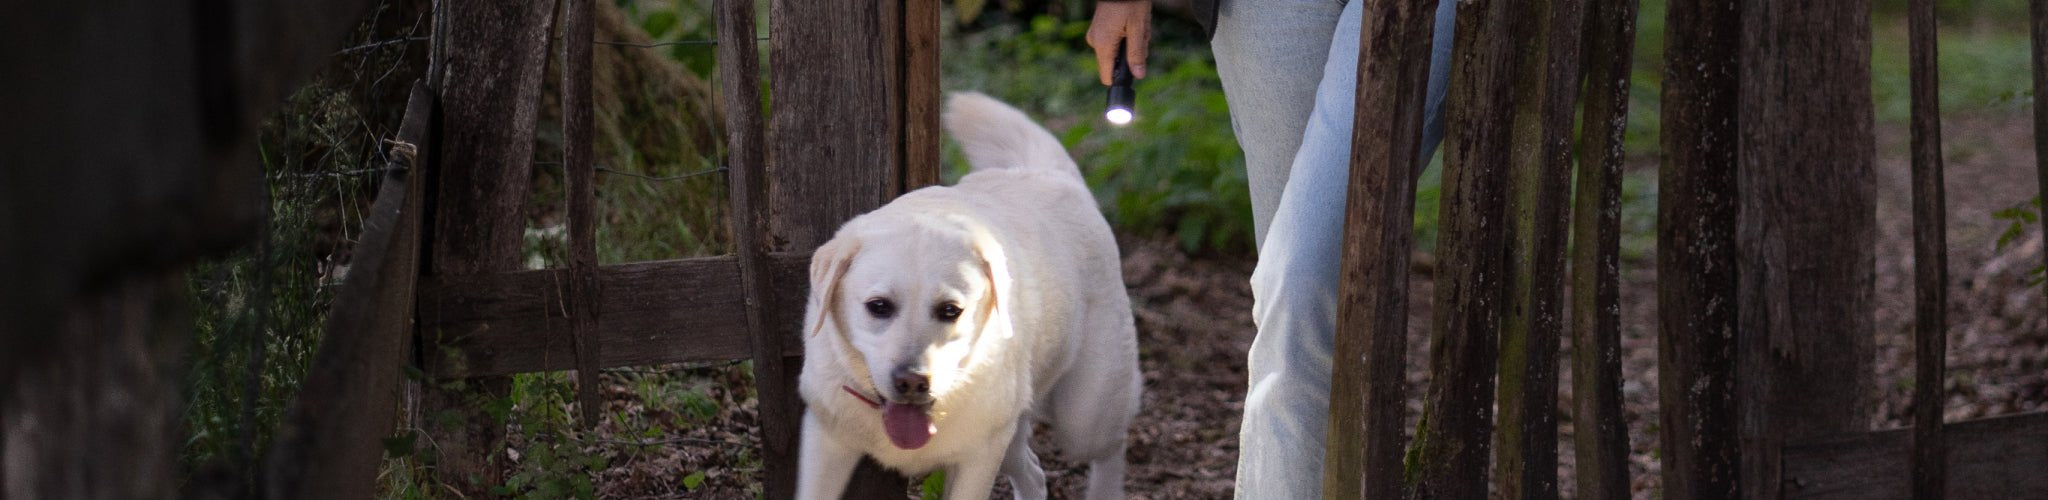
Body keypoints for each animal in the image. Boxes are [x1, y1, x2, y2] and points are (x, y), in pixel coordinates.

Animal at [794, 91, 1146, 497]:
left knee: (1111, 446)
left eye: (951, 310)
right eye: (878, 306)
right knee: (1035, 472)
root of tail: (1053, 176)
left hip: (1084, 418)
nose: (912, 381)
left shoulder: (978, 459)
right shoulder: (826, 442)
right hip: (1015, 430)